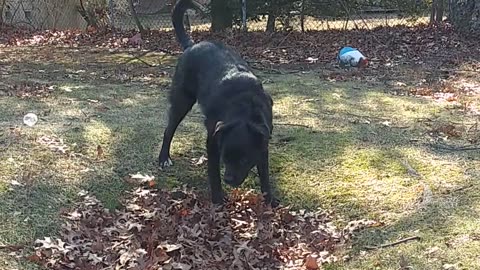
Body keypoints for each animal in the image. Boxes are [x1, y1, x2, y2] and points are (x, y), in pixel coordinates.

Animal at [158, 0, 278, 207]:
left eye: (244, 159)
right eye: (225, 157)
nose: (229, 179)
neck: (243, 108)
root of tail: (192, 46)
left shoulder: (263, 143)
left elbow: (264, 176)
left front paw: (269, 200)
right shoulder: (213, 142)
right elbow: (214, 175)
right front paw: (218, 202)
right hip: (182, 101)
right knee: (168, 130)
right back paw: (164, 158)